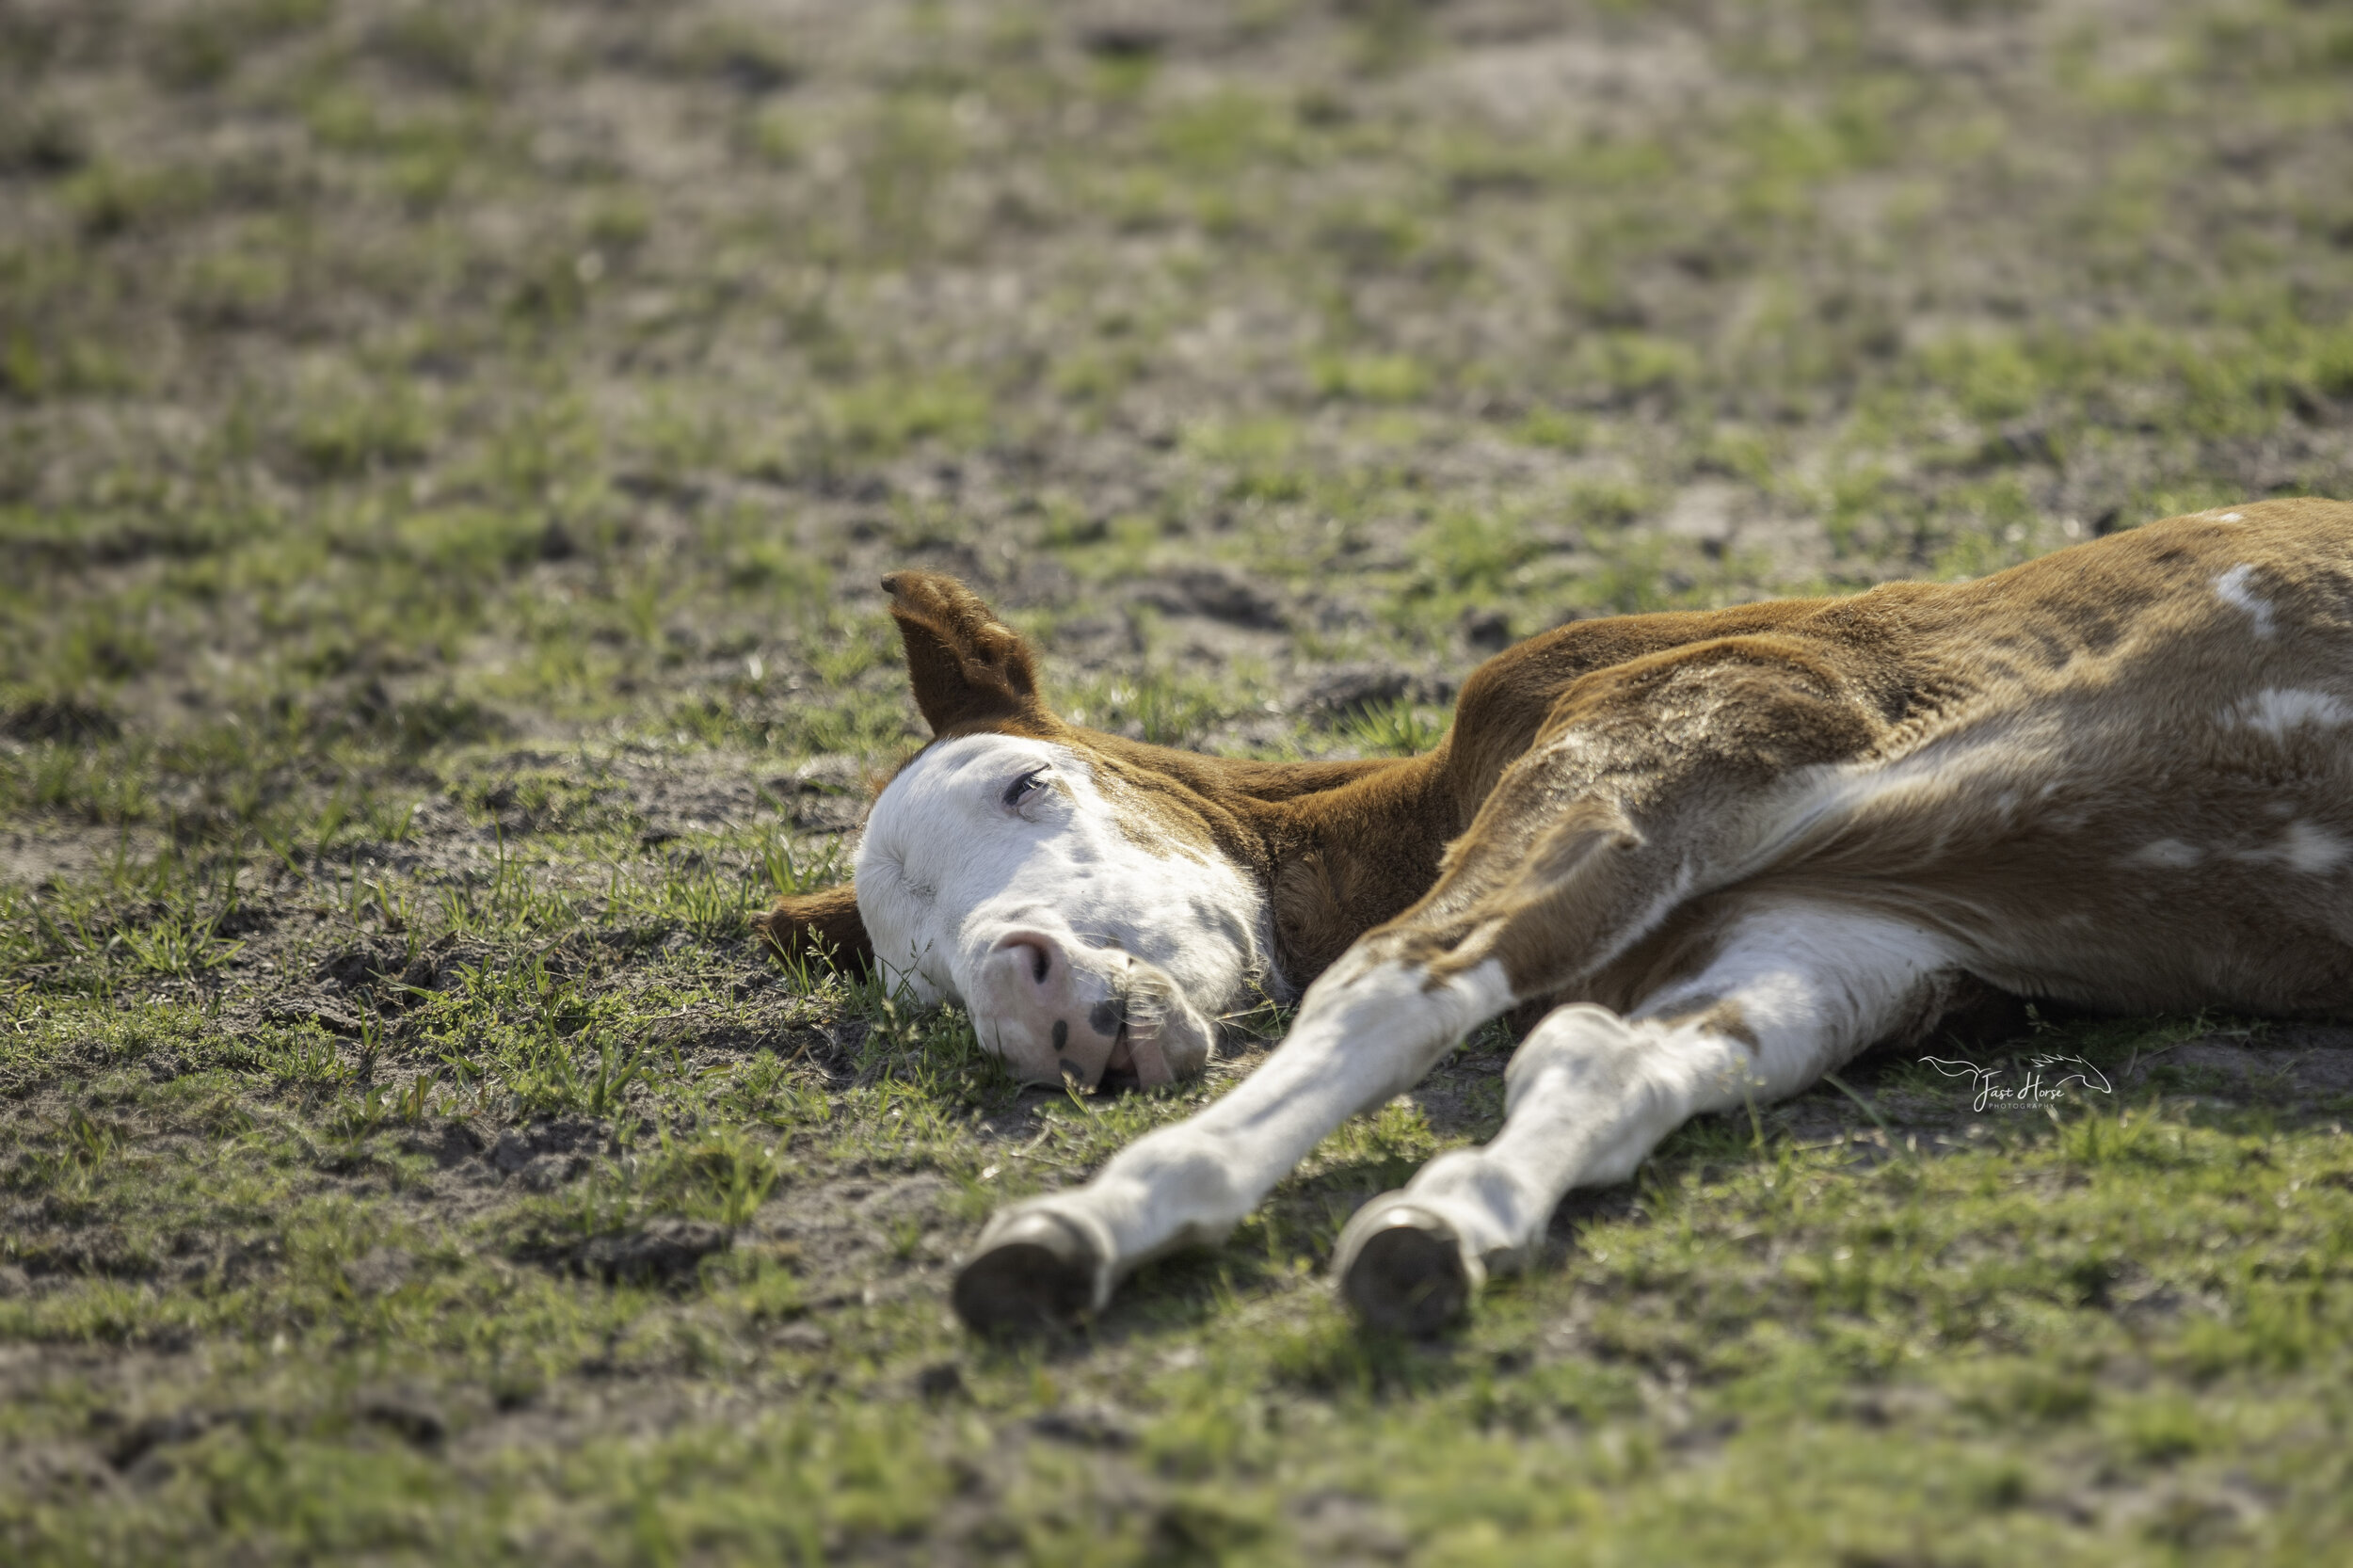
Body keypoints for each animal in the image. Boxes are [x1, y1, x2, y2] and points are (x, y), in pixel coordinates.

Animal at [762, 501, 2353, 1327]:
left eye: (1033, 780)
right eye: (916, 981)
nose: (1024, 990)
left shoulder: (1673, 733)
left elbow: (1396, 982)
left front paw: (1094, 1214)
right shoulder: (1858, 932)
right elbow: (1608, 1056)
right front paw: (1454, 1217)